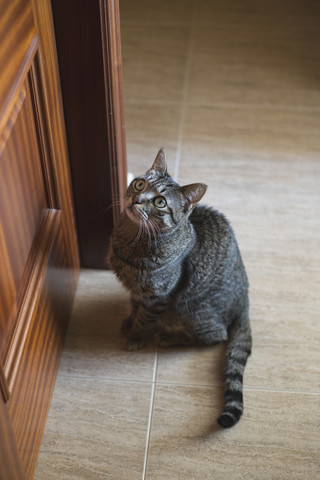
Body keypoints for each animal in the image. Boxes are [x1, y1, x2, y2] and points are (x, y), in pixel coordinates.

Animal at [109, 150, 251, 428]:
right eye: (139, 184)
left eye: (160, 202)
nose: (136, 199)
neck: (132, 240)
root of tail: (244, 302)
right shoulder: (137, 290)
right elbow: (134, 304)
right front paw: (128, 320)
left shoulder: (158, 296)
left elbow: (144, 319)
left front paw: (135, 336)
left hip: (191, 310)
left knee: (216, 336)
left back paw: (170, 337)